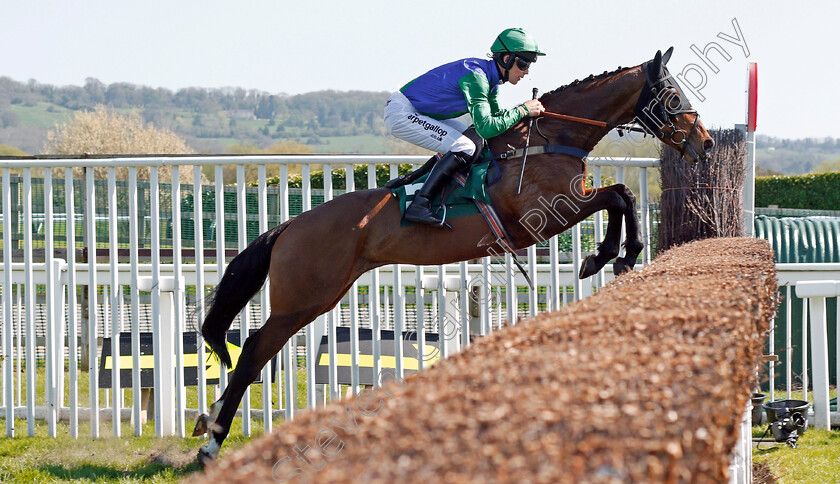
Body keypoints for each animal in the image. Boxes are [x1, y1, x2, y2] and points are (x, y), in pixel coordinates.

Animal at [194, 48, 712, 462]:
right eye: (671, 94)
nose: (704, 142)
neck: (549, 138)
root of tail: (289, 227)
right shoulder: (545, 215)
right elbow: (620, 195)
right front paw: (612, 255)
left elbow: (621, 195)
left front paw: (614, 255)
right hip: (302, 299)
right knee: (253, 353)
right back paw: (212, 441)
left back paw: (210, 422)